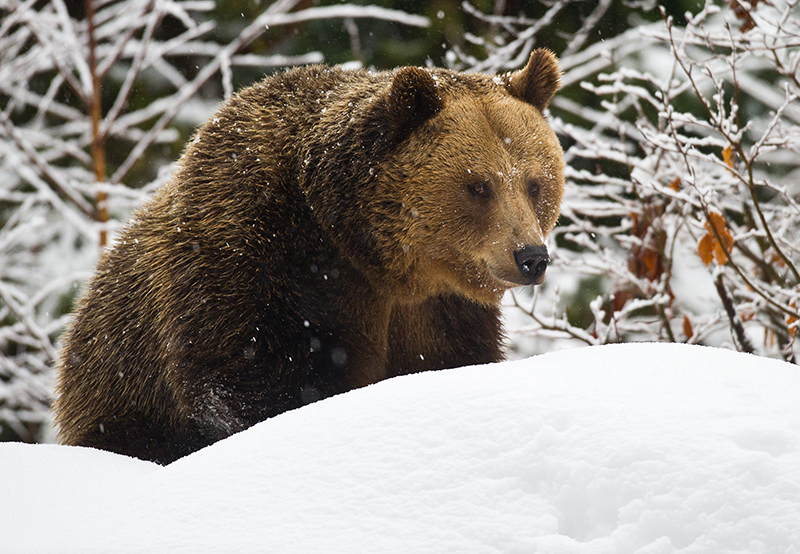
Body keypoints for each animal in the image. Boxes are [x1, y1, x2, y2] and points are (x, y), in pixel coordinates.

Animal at [53, 48, 564, 462]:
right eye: (478, 186)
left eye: (535, 183)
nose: (530, 257)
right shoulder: (252, 254)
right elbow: (245, 378)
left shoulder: (436, 310)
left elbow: (453, 358)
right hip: (120, 386)